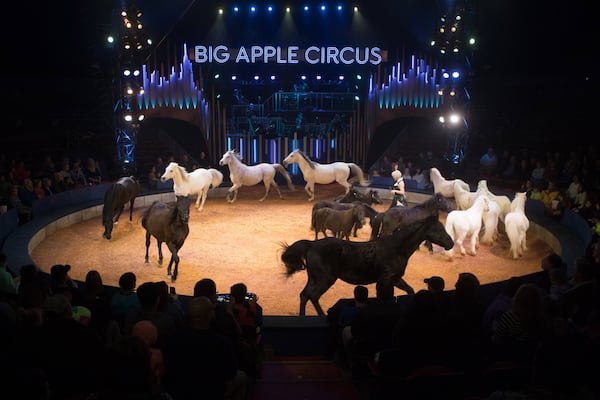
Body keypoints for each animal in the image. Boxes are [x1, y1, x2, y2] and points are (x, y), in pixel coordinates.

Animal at [284, 216, 452, 316]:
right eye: (438, 229)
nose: (450, 243)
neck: (396, 248)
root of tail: (311, 245)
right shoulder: (386, 280)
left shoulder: (396, 279)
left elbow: (410, 290)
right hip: (324, 279)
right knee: (313, 296)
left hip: (314, 278)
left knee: (304, 295)